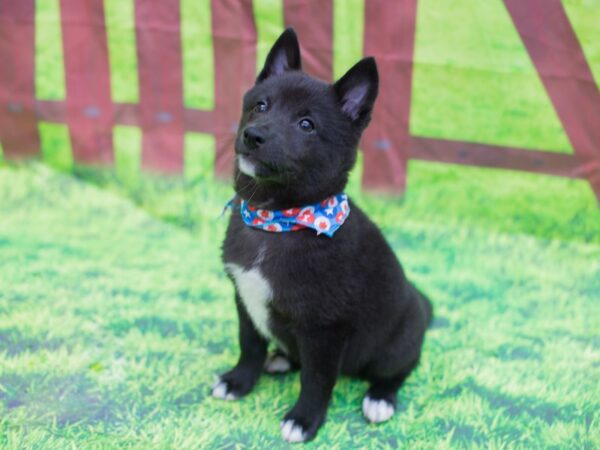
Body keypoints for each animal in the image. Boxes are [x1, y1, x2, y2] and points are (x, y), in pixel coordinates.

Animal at [212, 28, 432, 442]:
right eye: (261, 106)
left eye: (306, 125)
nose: (253, 136)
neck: (276, 220)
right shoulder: (244, 299)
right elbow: (250, 345)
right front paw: (238, 381)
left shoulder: (324, 330)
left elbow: (317, 379)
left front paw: (303, 419)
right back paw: (280, 360)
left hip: (398, 341)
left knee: (399, 369)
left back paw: (380, 399)